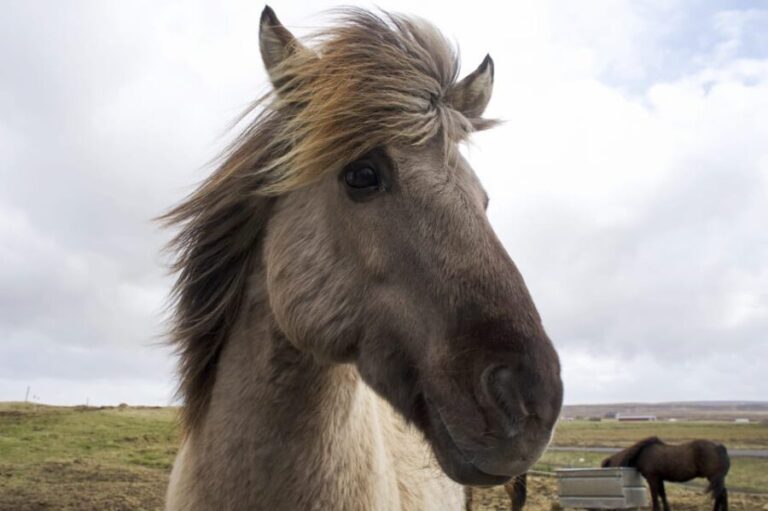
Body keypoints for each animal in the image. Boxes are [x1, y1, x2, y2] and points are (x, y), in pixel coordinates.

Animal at [602, 437, 730, 511]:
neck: (641, 454)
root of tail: (720, 447)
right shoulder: (659, 479)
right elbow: (662, 494)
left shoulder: (652, 478)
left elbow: (655, 496)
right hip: (716, 479)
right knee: (722, 493)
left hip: (714, 477)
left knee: (720, 494)